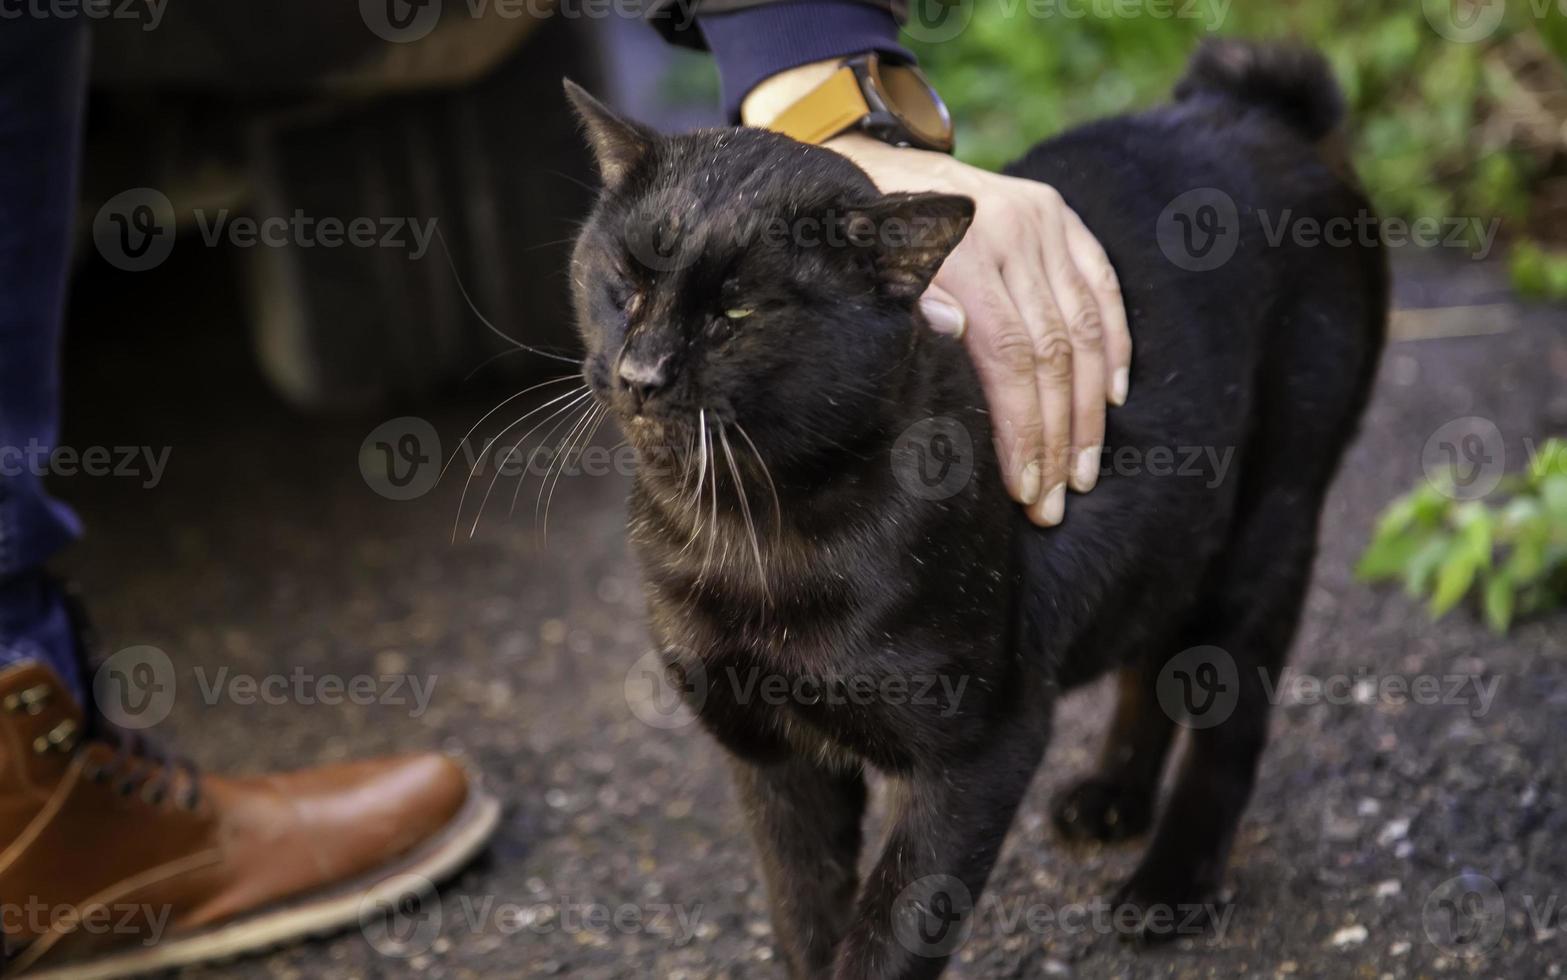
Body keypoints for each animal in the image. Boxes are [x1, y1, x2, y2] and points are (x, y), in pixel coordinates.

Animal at [564, 40, 1385, 978]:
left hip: (1268, 523)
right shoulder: (770, 756)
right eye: (624, 282)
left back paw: (1168, 886)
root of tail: (1248, 102)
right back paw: (1110, 799)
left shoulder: (977, 751)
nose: (642, 372)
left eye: (737, 310)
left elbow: (889, 934)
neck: (747, 528)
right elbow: (803, 908)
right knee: (1152, 655)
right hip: (1177, 532)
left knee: (1229, 716)